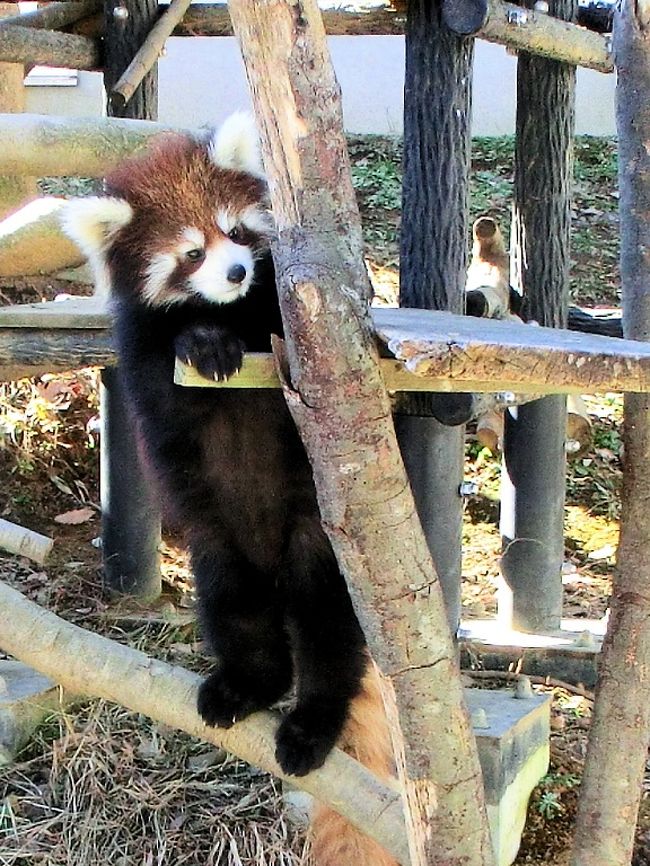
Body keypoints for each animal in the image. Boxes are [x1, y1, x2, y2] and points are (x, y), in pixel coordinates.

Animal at [62, 115, 394, 864]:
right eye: (191, 253)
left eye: (235, 232)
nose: (237, 271)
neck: (226, 310)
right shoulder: (141, 348)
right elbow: (167, 387)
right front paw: (203, 344)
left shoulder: (279, 316)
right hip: (218, 549)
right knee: (236, 611)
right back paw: (242, 686)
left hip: (317, 540)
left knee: (326, 630)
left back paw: (310, 725)